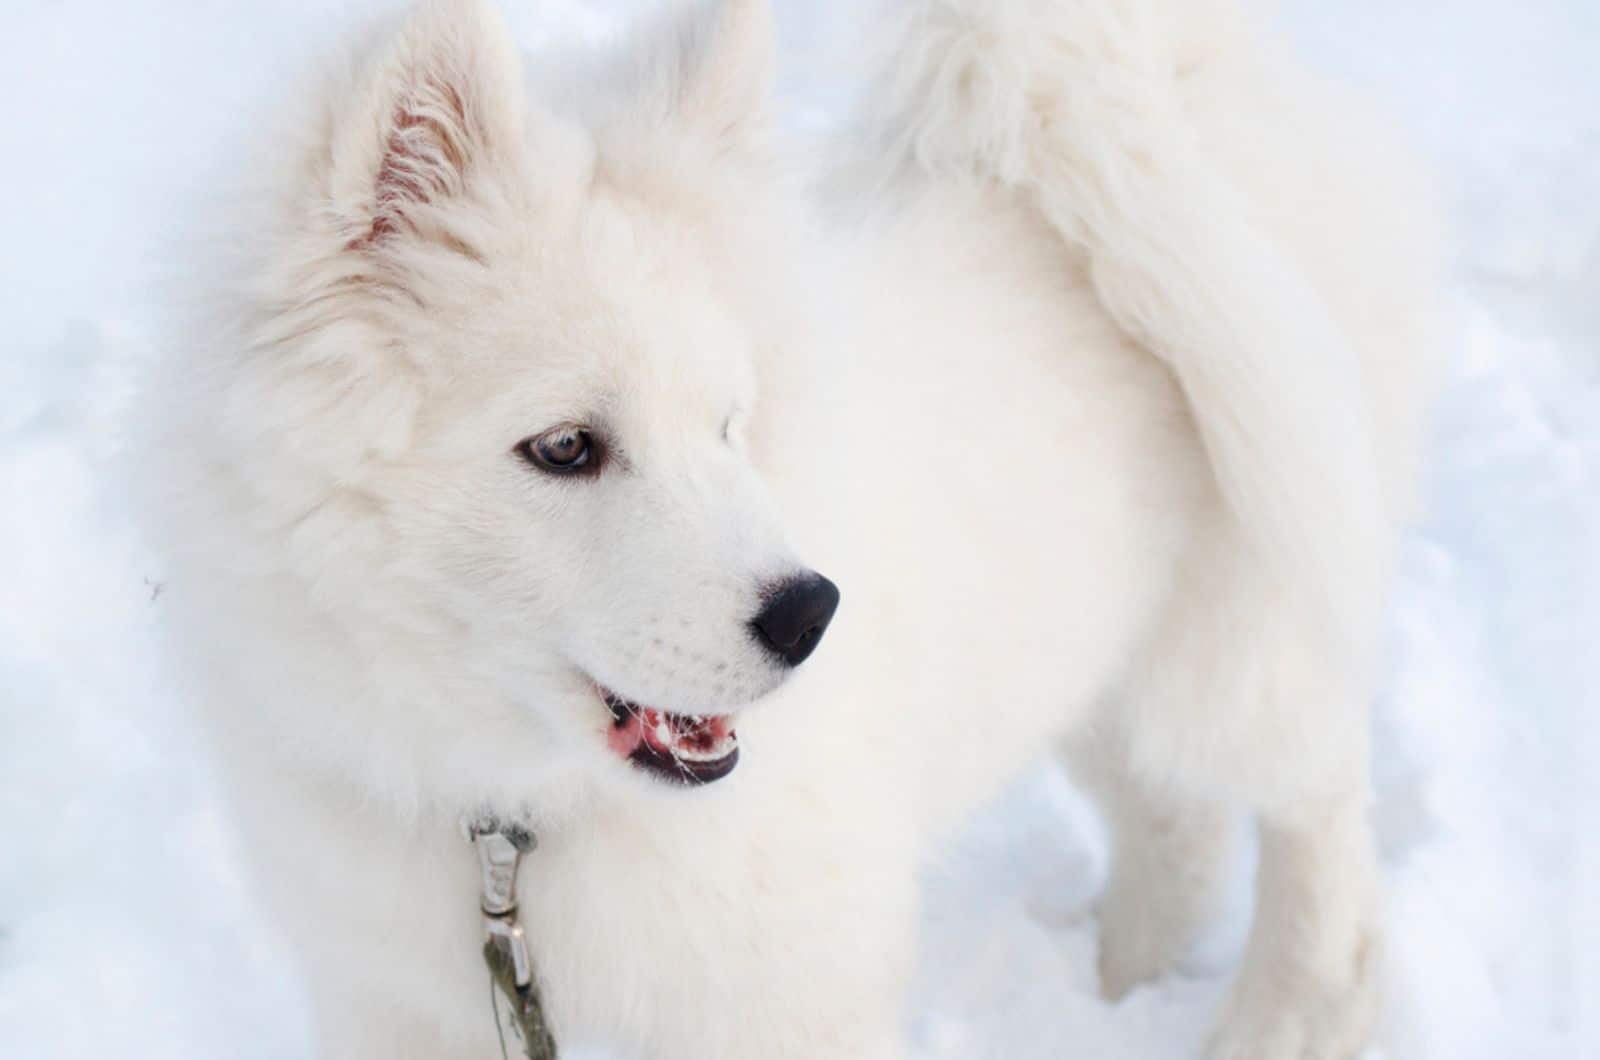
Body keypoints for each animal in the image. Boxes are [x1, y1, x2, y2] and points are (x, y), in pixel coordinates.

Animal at [140, 2, 1440, 1060]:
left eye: (729, 423)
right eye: (563, 447)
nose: (811, 615)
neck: (519, 817)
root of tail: (1179, 77)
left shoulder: (793, 995)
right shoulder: (400, 1001)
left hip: (1235, 627)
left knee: (1314, 801)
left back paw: (1290, 1012)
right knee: (1175, 821)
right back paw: (1119, 979)